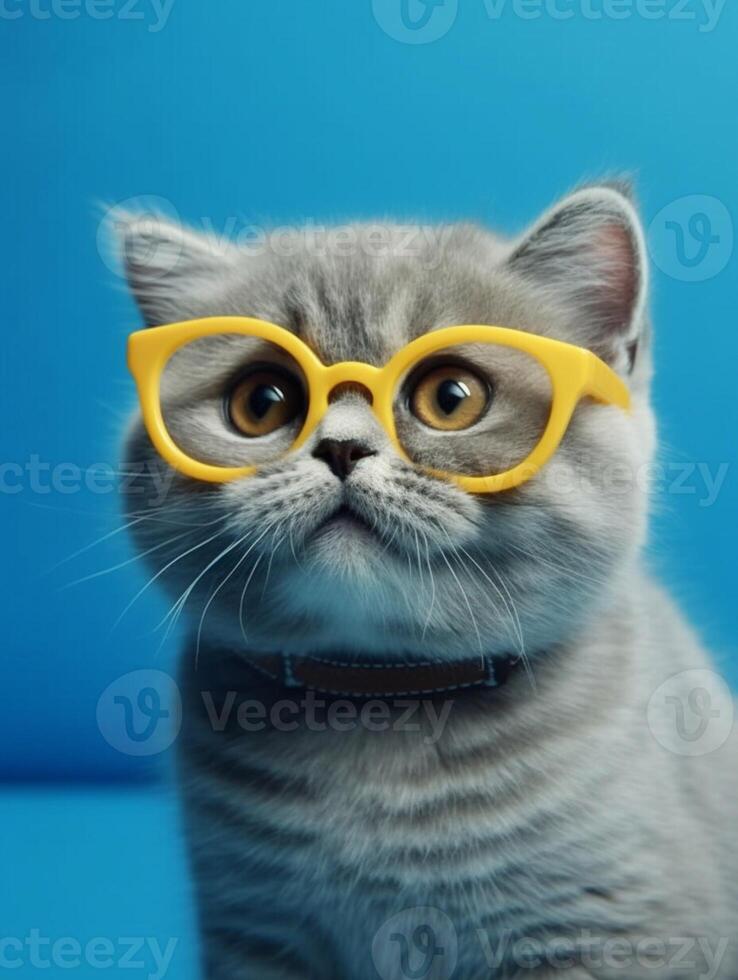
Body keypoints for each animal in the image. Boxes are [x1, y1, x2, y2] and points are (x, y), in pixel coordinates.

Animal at [116, 186, 736, 980]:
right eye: (262, 402)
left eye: (452, 396)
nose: (341, 448)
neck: (383, 700)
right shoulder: (256, 935)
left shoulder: (610, 934)